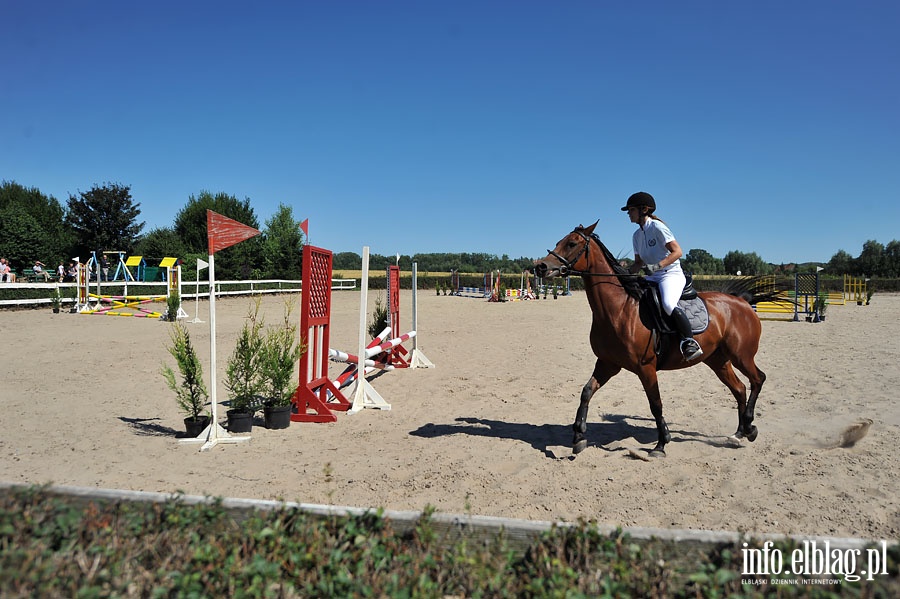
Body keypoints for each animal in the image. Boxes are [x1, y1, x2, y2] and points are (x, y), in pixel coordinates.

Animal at [536, 223, 772, 458]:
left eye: (571, 243)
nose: (540, 267)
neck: (619, 309)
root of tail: (742, 301)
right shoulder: (607, 364)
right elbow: (586, 392)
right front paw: (578, 436)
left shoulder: (646, 367)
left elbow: (655, 404)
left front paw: (661, 444)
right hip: (717, 360)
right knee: (739, 388)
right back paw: (740, 433)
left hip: (741, 356)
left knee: (758, 379)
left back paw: (749, 426)